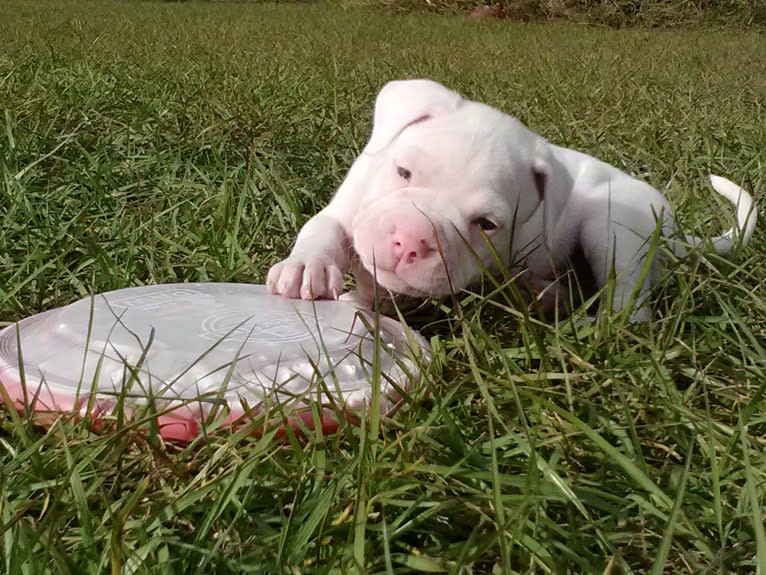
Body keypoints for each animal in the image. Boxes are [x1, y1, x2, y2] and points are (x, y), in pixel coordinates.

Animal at [268, 79, 760, 322]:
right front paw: (306, 267)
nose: (409, 241)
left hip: (615, 226)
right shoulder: (347, 207)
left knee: (627, 304)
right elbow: (322, 226)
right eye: (403, 171)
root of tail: (675, 232)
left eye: (486, 224)